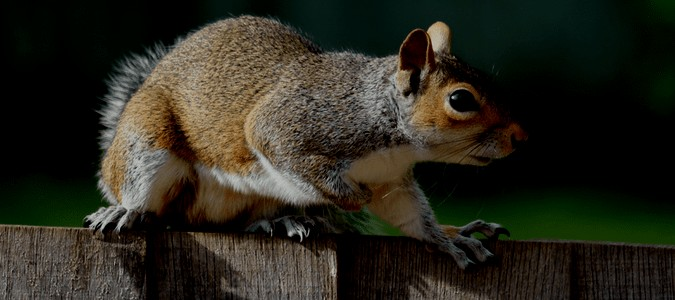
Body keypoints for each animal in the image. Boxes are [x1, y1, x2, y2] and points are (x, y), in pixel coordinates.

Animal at [83, 15, 528, 268]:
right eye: (461, 100)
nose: (519, 137)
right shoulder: (289, 126)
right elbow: (285, 153)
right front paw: (350, 197)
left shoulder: (390, 180)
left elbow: (408, 216)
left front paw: (449, 238)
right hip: (147, 141)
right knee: (147, 196)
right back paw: (125, 211)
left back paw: (281, 220)